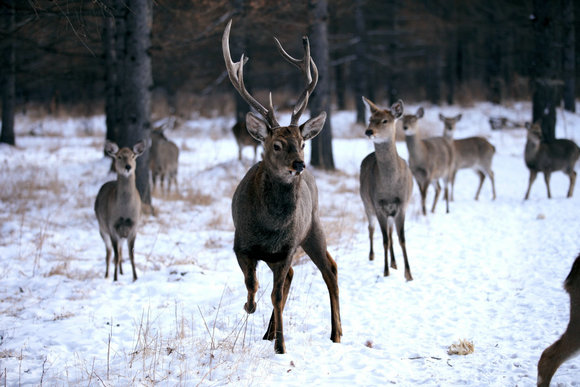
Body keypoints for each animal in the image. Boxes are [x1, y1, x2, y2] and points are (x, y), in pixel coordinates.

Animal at [94, 139, 145, 282]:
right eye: (119, 156)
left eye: (133, 156)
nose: (128, 167)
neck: (124, 211)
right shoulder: (112, 226)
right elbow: (115, 255)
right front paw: (115, 279)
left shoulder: (134, 226)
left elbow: (131, 254)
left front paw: (135, 277)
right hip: (102, 228)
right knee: (109, 253)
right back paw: (107, 275)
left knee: (121, 251)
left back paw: (122, 272)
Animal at [221, 20, 340, 354]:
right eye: (276, 144)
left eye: (302, 142)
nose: (299, 164)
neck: (269, 229)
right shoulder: (240, 244)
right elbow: (252, 285)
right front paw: (250, 308)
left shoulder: (286, 248)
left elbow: (275, 294)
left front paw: (281, 347)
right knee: (293, 276)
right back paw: (269, 331)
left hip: (313, 225)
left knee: (329, 270)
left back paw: (336, 333)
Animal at [360, 96, 414, 278]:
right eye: (370, 119)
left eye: (385, 120)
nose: (369, 131)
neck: (390, 186)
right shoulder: (378, 205)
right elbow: (383, 240)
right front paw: (385, 272)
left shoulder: (402, 204)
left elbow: (401, 238)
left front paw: (408, 274)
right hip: (366, 203)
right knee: (371, 228)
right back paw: (372, 256)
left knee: (390, 234)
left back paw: (394, 262)